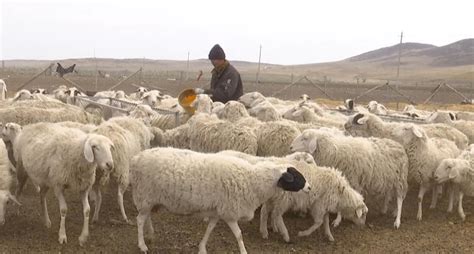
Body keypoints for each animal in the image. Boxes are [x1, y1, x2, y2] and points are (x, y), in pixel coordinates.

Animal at [130, 147, 312, 254]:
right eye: (297, 178)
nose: (310, 187)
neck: (252, 180)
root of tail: (137, 157)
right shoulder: (230, 213)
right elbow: (239, 235)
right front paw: (244, 251)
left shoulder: (217, 211)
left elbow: (209, 229)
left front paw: (202, 248)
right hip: (145, 194)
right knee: (139, 220)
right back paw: (142, 245)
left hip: (150, 198)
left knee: (147, 217)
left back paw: (151, 235)